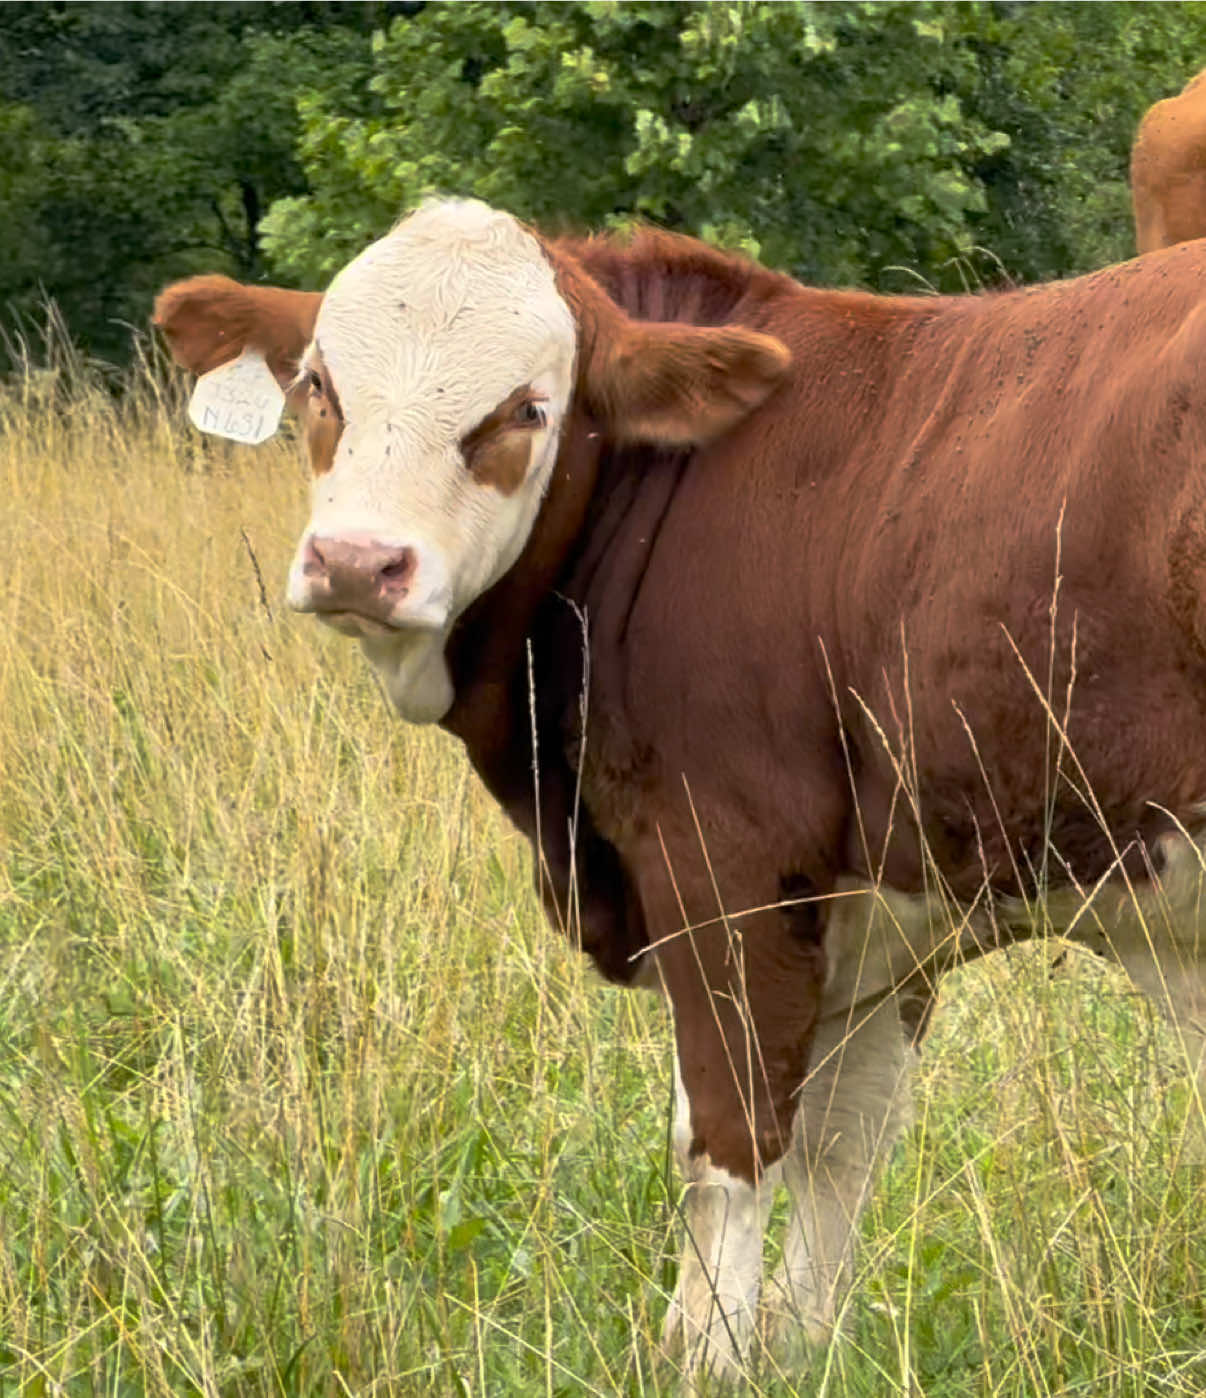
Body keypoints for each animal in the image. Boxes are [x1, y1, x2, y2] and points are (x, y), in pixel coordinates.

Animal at [154, 200, 1206, 1380]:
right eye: (319, 385)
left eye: (527, 408)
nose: (355, 562)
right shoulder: (893, 901)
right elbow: (843, 1142)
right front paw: (796, 1349)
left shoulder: (724, 868)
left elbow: (728, 1138)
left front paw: (706, 1355)